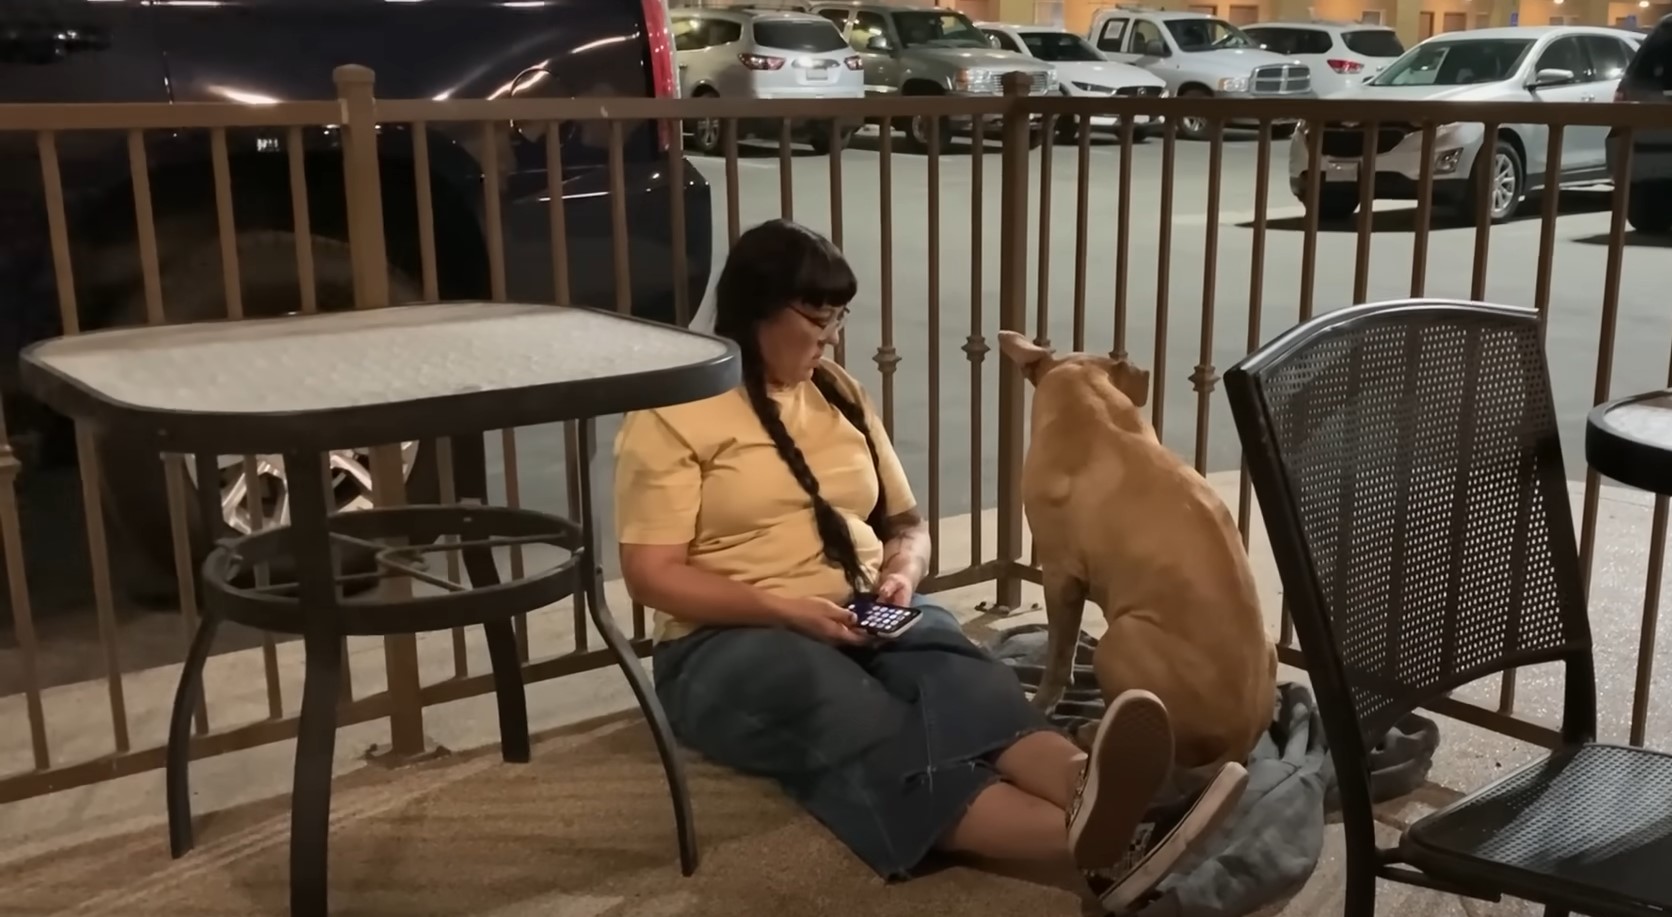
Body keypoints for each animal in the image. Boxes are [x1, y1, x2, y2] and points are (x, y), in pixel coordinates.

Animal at [996, 332, 1270, 769]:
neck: (1090, 402)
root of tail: (1239, 742)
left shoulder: (1060, 575)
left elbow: (1059, 652)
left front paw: (1042, 702)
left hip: (1118, 639)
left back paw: (1093, 731)